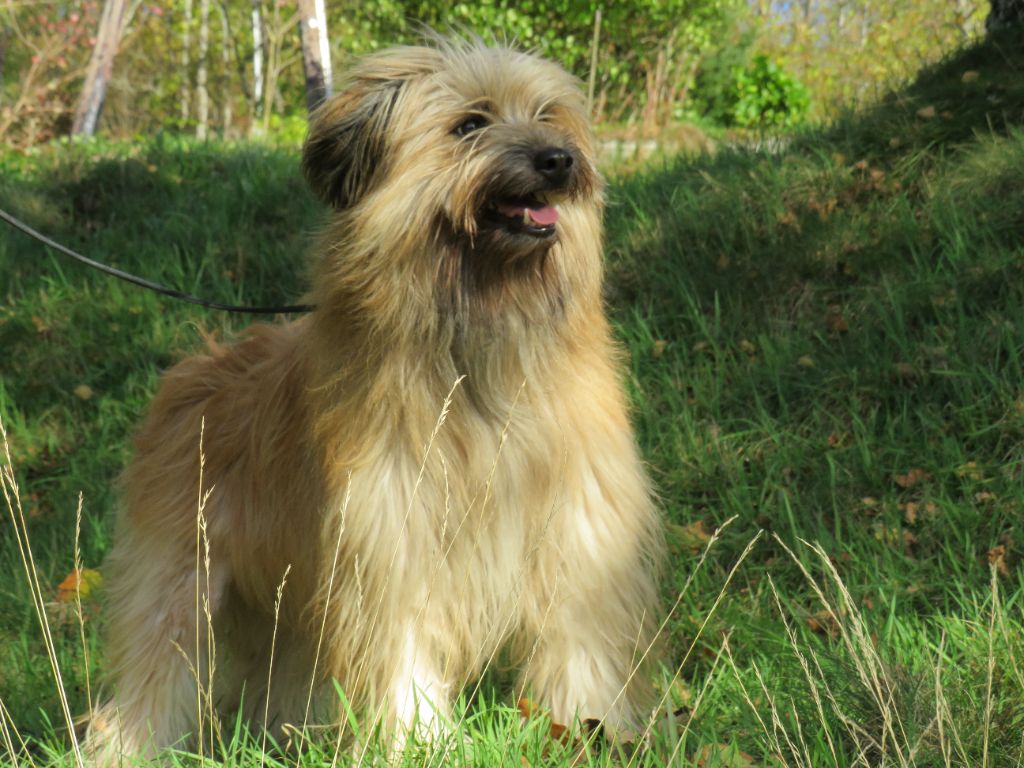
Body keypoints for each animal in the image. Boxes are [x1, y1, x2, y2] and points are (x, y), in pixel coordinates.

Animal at [88, 37, 663, 765]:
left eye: (548, 115)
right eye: (470, 124)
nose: (558, 161)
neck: (477, 348)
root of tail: (198, 366)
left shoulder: (581, 530)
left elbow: (580, 642)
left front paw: (597, 730)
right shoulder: (394, 540)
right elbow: (405, 650)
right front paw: (423, 739)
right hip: (182, 580)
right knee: (149, 678)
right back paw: (129, 746)